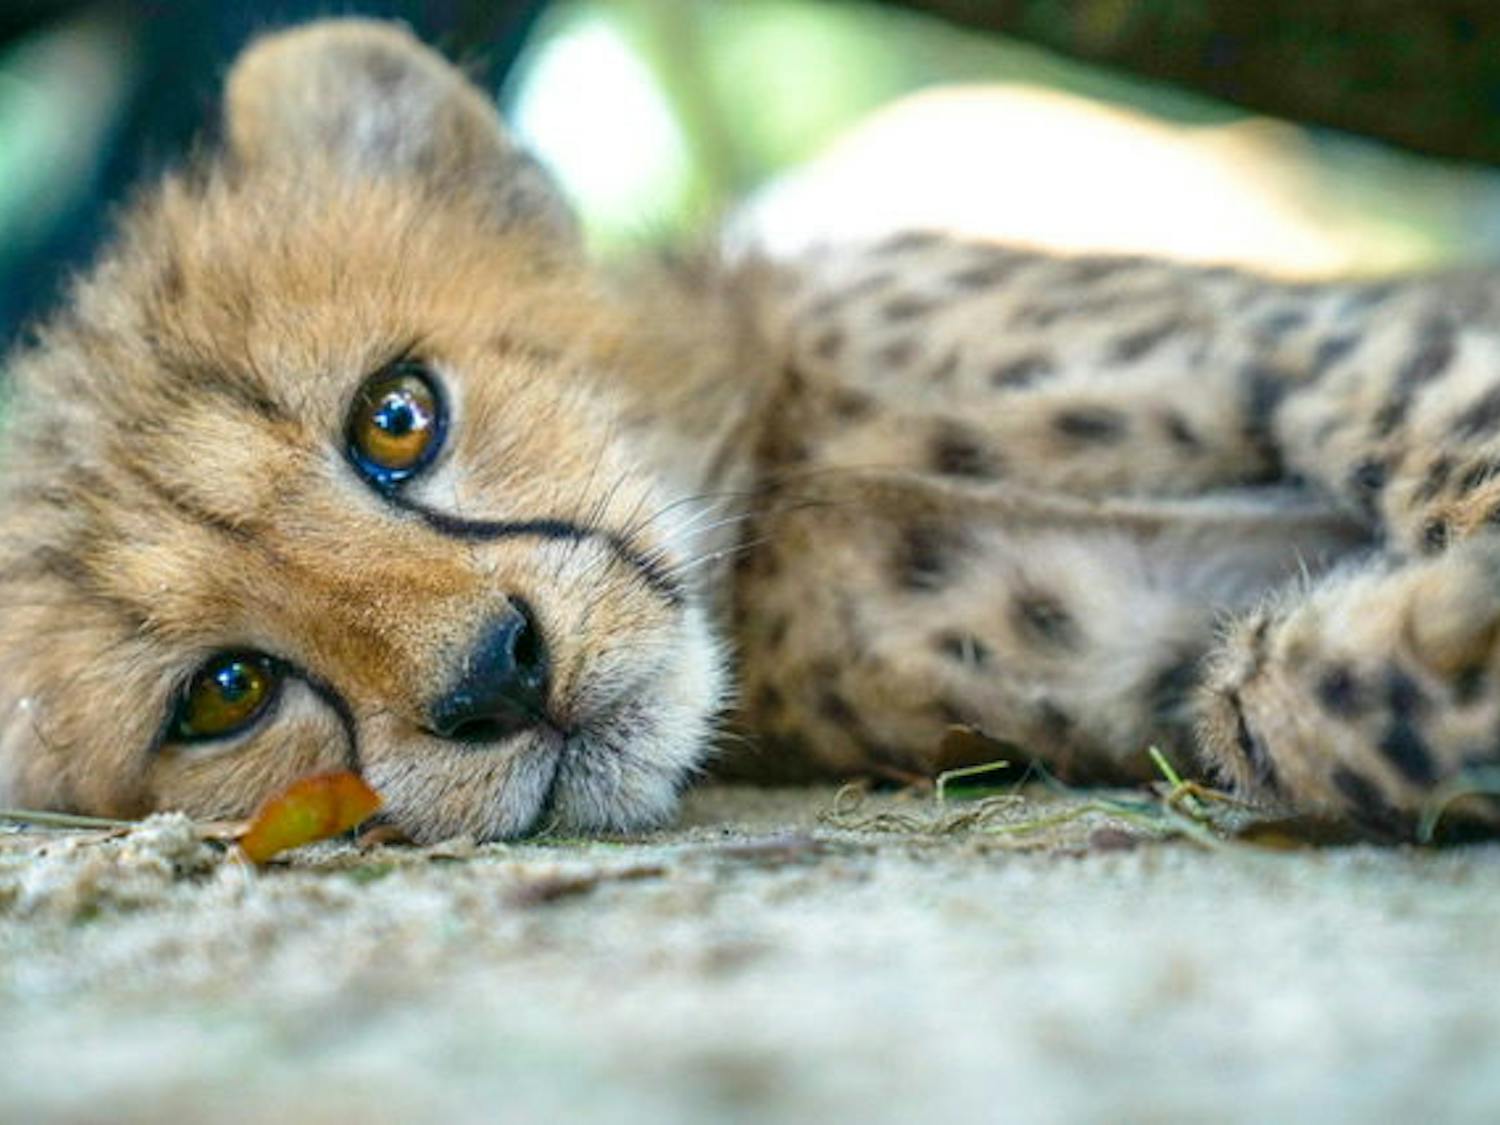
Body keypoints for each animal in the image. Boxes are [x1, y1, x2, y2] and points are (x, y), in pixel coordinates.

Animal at [2, 18, 1499, 844]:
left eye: (396, 417)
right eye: (225, 693)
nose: (498, 676)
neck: (779, 485)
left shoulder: (1312, 345)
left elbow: (1444, 436)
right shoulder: (1131, 650)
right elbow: (1258, 699)